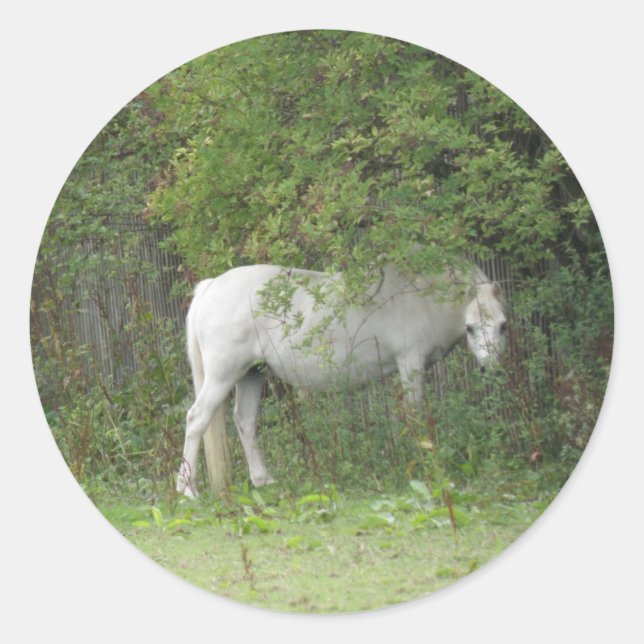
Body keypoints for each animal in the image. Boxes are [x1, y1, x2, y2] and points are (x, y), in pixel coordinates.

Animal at [176, 262, 507, 497]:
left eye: (503, 326)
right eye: (471, 328)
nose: (492, 369)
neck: (420, 295)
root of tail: (211, 286)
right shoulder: (410, 363)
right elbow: (414, 415)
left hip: (251, 375)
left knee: (245, 421)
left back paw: (263, 481)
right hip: (223, 375)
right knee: (196, 419)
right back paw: (187, 489)